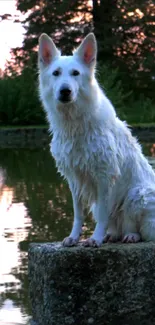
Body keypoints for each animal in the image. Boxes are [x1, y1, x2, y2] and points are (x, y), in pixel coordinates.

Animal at [38, 32, 155, 246]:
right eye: (56, 73)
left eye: (75, 73)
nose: (65, 91)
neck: (75, 124)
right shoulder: (74, 179)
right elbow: (78, 214)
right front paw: (74, 237)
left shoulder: (104, 176)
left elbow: (102, 214)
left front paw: (95, 238)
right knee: (117, 226)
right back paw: (112, 235)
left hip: (138, 194)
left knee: (139, 229)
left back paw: (131, 235)